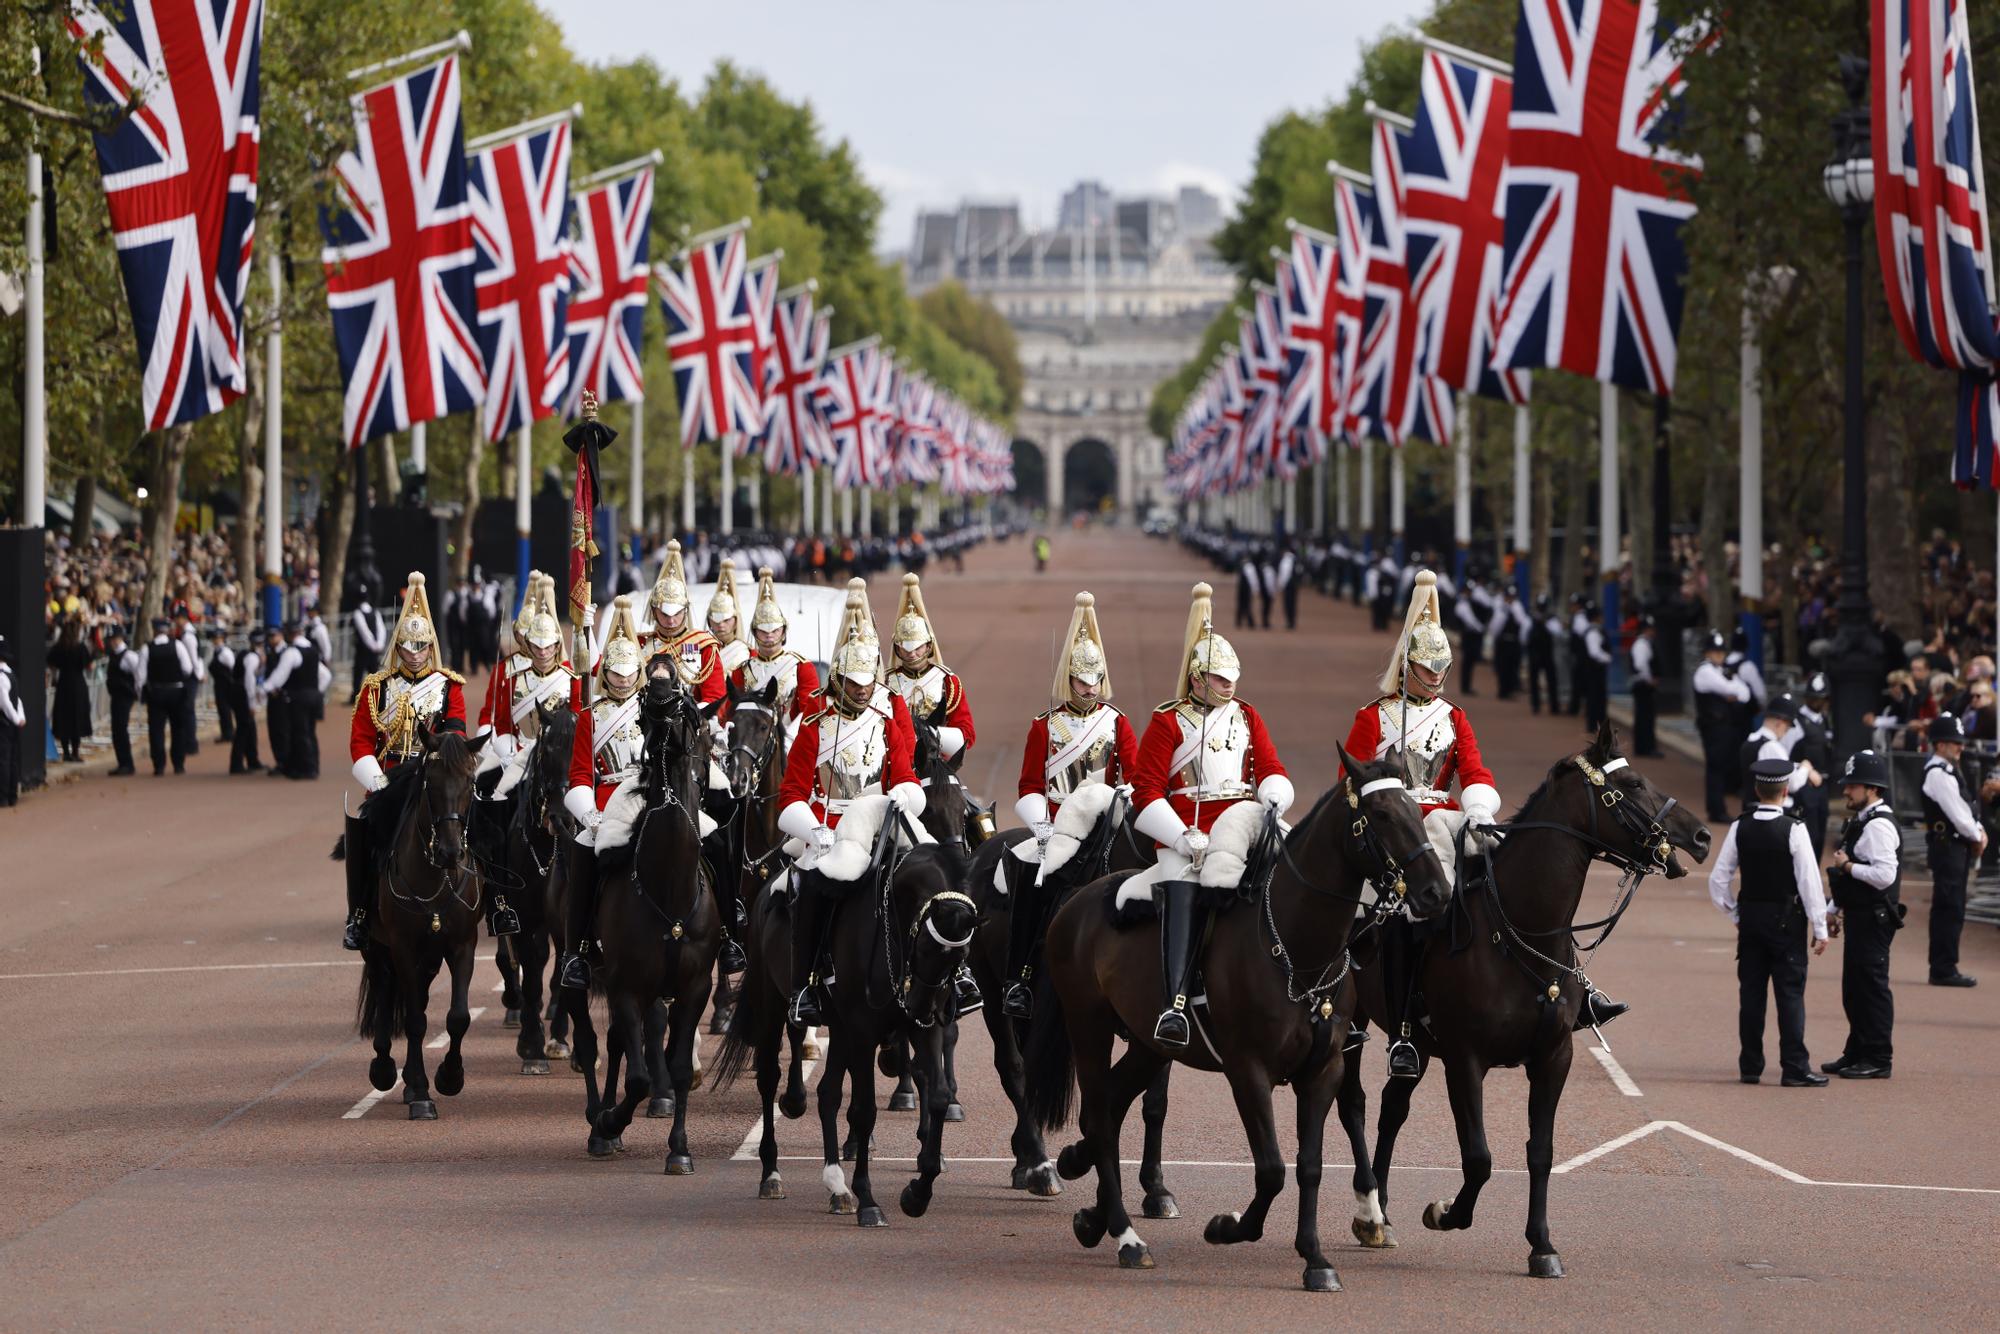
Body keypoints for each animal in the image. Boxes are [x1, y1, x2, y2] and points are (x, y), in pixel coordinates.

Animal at [1032, 748, 1456, 1288]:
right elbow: (1272, 1168)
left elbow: (1310, 1165)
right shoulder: (1248, 1070)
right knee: (1101, 1117)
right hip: (1088, 1026)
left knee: (1109, 1103)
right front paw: (1228, 1226)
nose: (1437, 893)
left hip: (1150, 1045)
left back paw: (1093, 1212)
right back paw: (1127, 1237)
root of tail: (1078, 900)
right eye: (1381, 815)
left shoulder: (1323, 1070)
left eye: (1416, 811)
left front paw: (1315, 1259)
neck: (1297, 949)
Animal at [1336, 720, 1712, 1280]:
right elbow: (1479, 1157)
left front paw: (1542, 1246)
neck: (1520, 927)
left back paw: (1379, 1213)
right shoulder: (1466, 1060)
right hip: (1353, 1025)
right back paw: (1369, 1210)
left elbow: (1541, 1151)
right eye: (1634, 784)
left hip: (1417, 1044)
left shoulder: (1553, 1057)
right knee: (1355, 1104)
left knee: (1391, 1108)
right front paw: (1446, 1212)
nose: (1703, 836)